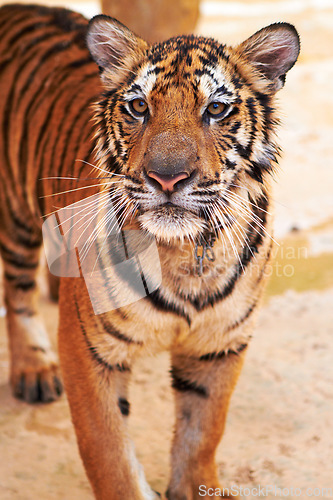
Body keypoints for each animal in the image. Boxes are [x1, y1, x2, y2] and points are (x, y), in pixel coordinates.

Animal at [0, 4, 298, 500]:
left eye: (215, 109)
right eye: (139, 107)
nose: (167, 177)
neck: (187, 251)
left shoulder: (221, 344)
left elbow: (203, 432)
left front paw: (197, 486)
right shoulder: (88, 350)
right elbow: (110, 455)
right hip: (14, 214)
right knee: (16, 291)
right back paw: (34, 368)